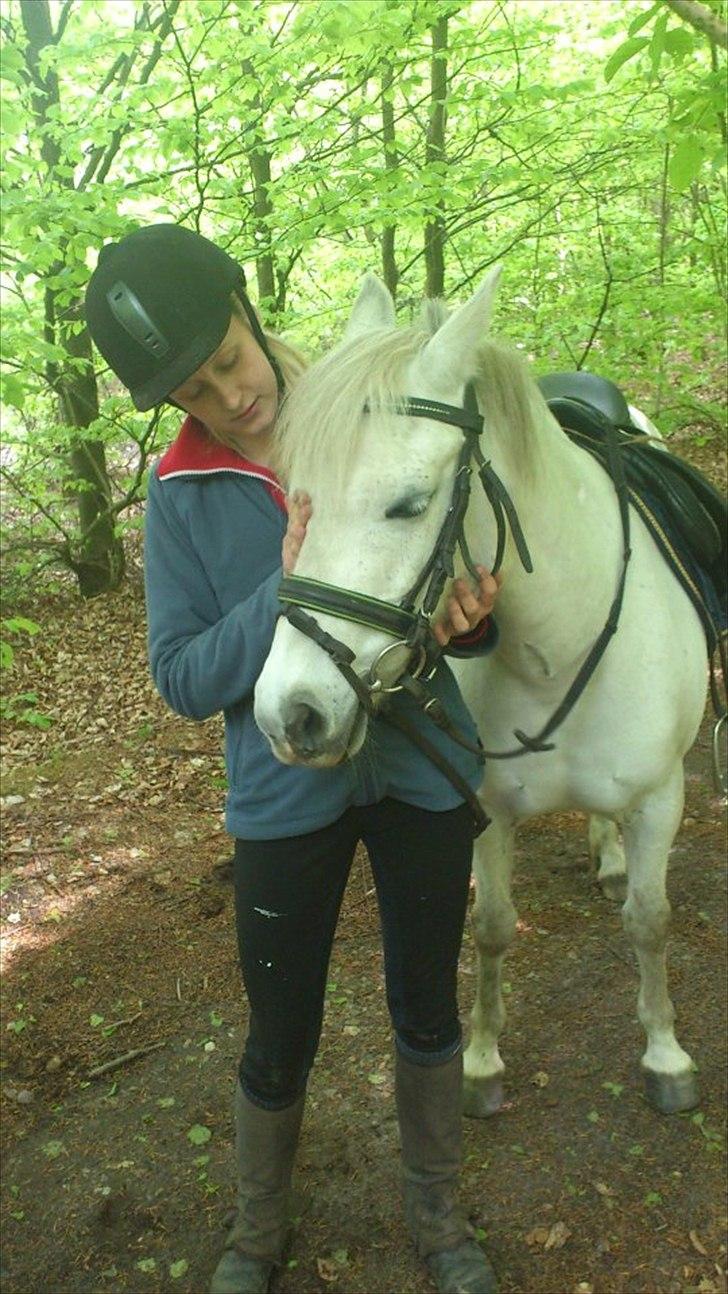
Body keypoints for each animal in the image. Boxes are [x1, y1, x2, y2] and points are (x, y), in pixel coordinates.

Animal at [253, 268, 709, 1119]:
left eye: (406, 504)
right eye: (300, 500)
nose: (289, 714)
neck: (557, 646)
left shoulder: (662, 797)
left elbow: (650, 923)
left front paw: (665, 1053)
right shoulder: (487, 808)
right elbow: (494, 928)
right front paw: (483, 1060)